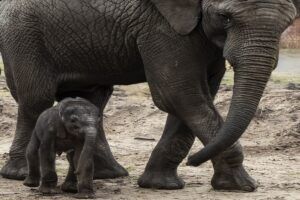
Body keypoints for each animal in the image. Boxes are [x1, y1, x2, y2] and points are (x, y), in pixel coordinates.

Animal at [0, 0, 298, 191]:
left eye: (288, 23)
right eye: (226, 17)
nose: (193, 161)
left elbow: (197, 97)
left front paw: (161, 185)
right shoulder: (161, 27)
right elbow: (178, 94)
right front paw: (242, 186)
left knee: (93, 99)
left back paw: (109, 175)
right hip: (23, 33)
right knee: (36, 99)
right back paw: (19, 175)